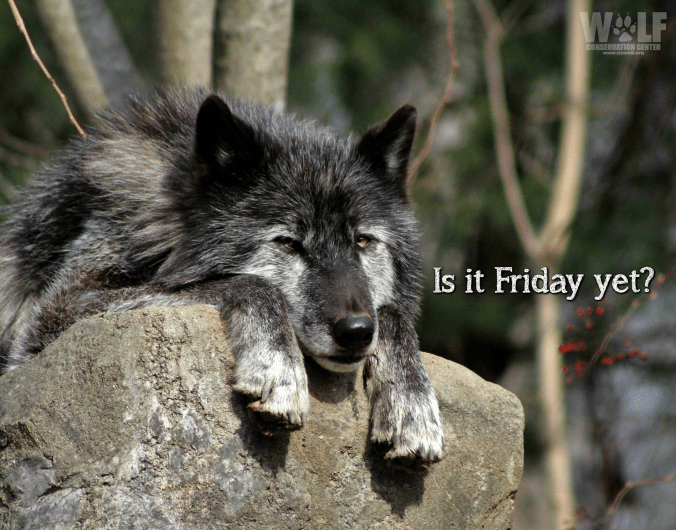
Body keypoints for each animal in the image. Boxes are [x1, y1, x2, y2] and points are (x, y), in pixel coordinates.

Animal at [0, 88, 444, 466]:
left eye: (363, 241)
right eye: (288, 243)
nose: (355, 331)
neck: (166, 217)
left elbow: (393, 315)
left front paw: (414, 405)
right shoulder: (55, 314)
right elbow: (248, 283)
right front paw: (278, 369)